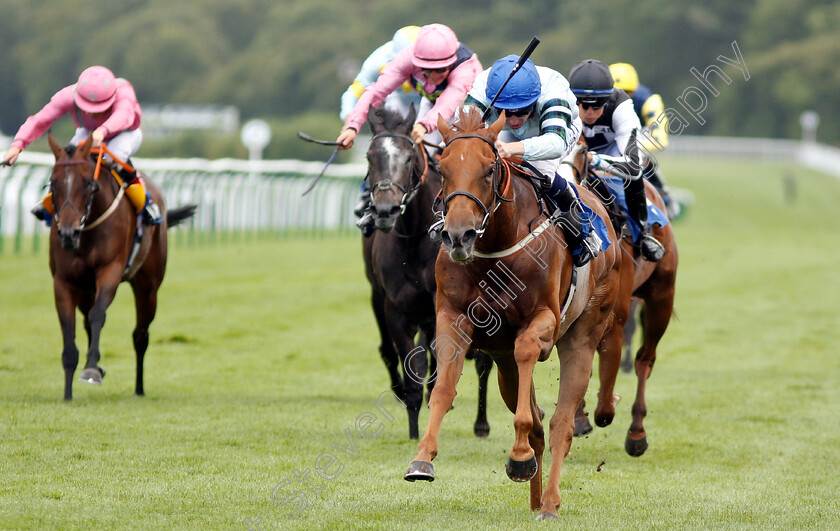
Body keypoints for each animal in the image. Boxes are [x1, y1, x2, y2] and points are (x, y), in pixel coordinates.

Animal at [47, 132, 197, 400]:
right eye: (52, 184)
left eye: (89, 183)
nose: (68, 234)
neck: (87, 230)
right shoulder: (64, 281)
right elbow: (69, 329)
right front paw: (68, 392)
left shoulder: (111, 270)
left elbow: (99, 315)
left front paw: (91, 371)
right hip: (86, 289)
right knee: (87, 321)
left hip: (148, 287)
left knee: (140, 334)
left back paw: (139, 388)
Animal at [360, 105, 492, 440]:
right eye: (369, 157)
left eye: (408, 157)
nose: (385, 211)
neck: (414, 239)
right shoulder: (394, 308)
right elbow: (408, 366)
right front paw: (413, 430)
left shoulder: (439, 309)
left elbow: (437, 360)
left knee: (483, 361)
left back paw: (481, 423)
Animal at [404, 107, 628, 520]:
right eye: (442, 168)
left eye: (489, 168)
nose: (458, 236)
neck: (495, 246)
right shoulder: (453, 317)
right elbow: (442, 387)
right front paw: (422, 459)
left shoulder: (544, 321)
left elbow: (528, 352)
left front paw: (519, 454)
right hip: (503, 363)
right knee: (538, 421)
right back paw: (535, 493)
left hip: (583, 334)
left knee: (559, 424)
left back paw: (549, 502)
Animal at [560, 135, 680, 456]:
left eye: (583, 153)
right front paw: (579, 417)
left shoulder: (616, 307)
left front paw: (604, 407)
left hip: (662, 296)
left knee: (645, 359)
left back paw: (637, 432)